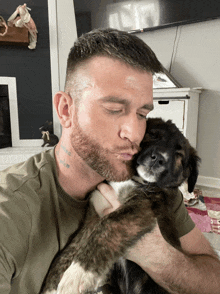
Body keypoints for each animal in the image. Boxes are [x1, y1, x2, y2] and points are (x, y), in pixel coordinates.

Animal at [40, 117, 200, 294]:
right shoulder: (93, 216)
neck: (134, 180)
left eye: (179, 155)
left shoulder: (143, 207)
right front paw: (51, 286)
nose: (158, 158)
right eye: (153, 135)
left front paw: (79, 273)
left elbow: (108, 225)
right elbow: (72, 247)